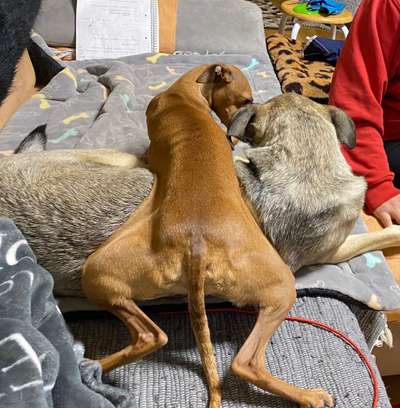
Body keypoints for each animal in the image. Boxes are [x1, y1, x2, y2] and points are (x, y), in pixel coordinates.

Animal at [80, 65, 332, 406]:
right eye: (246, 99)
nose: (239, 135)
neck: (187, 94)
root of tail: (196, 246)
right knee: (174, 342)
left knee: (204, 350)